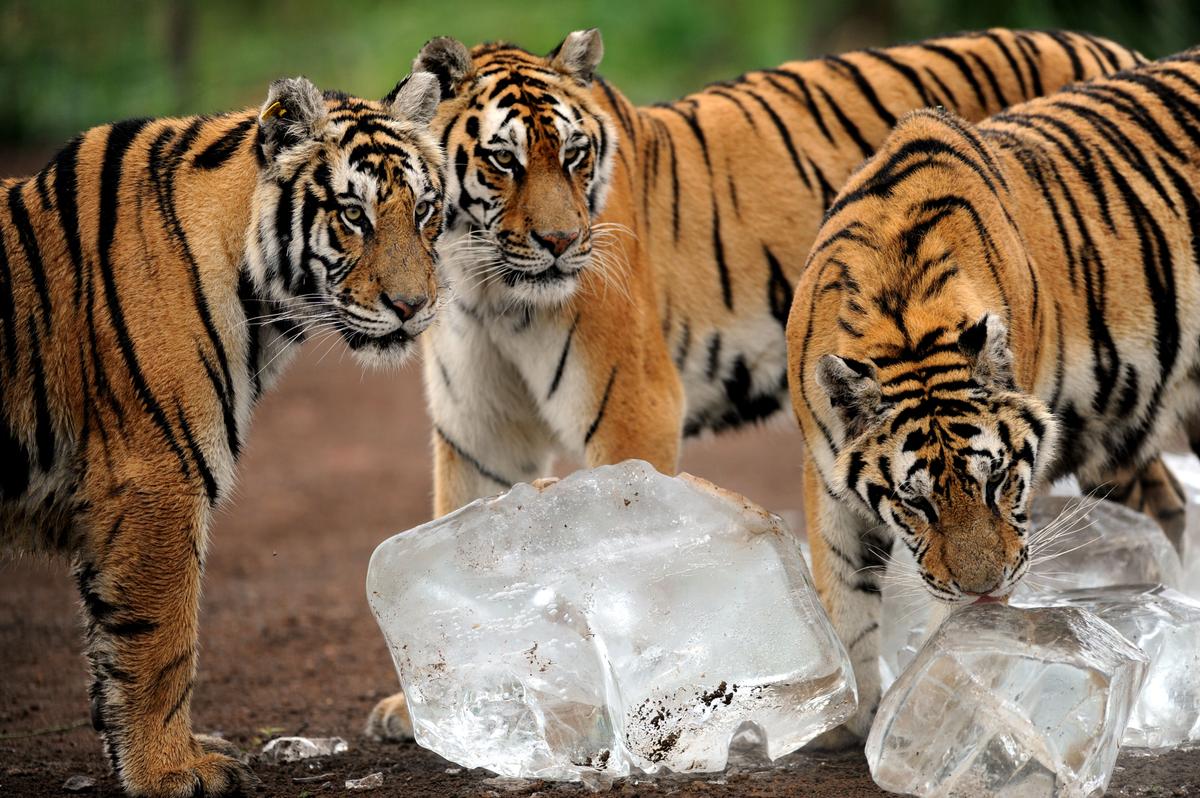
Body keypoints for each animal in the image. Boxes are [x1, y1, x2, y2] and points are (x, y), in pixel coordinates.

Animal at [0, 72, 444, 795]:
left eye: (427, 210)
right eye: (354, 215)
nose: (414, 307)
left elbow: (111, 645)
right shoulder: (156, 478)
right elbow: (158, 641)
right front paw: (169, 770)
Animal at [366, 27, 1145, 740]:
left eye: (576, 155)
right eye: (504, 160)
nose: (562, 243)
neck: (485, 286)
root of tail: (1114, 49)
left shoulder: (633, 406)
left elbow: (621, 541)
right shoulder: (478, 431)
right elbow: (456, 552)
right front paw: (426, 708)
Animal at [787, 48, 1200, 743]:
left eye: (999, 480)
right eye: (916, 504)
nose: (984, 587)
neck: (903, 318)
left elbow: (951, 635)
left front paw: (927, 715)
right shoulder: (826, 478)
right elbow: (843, 597)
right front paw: (853, 716)